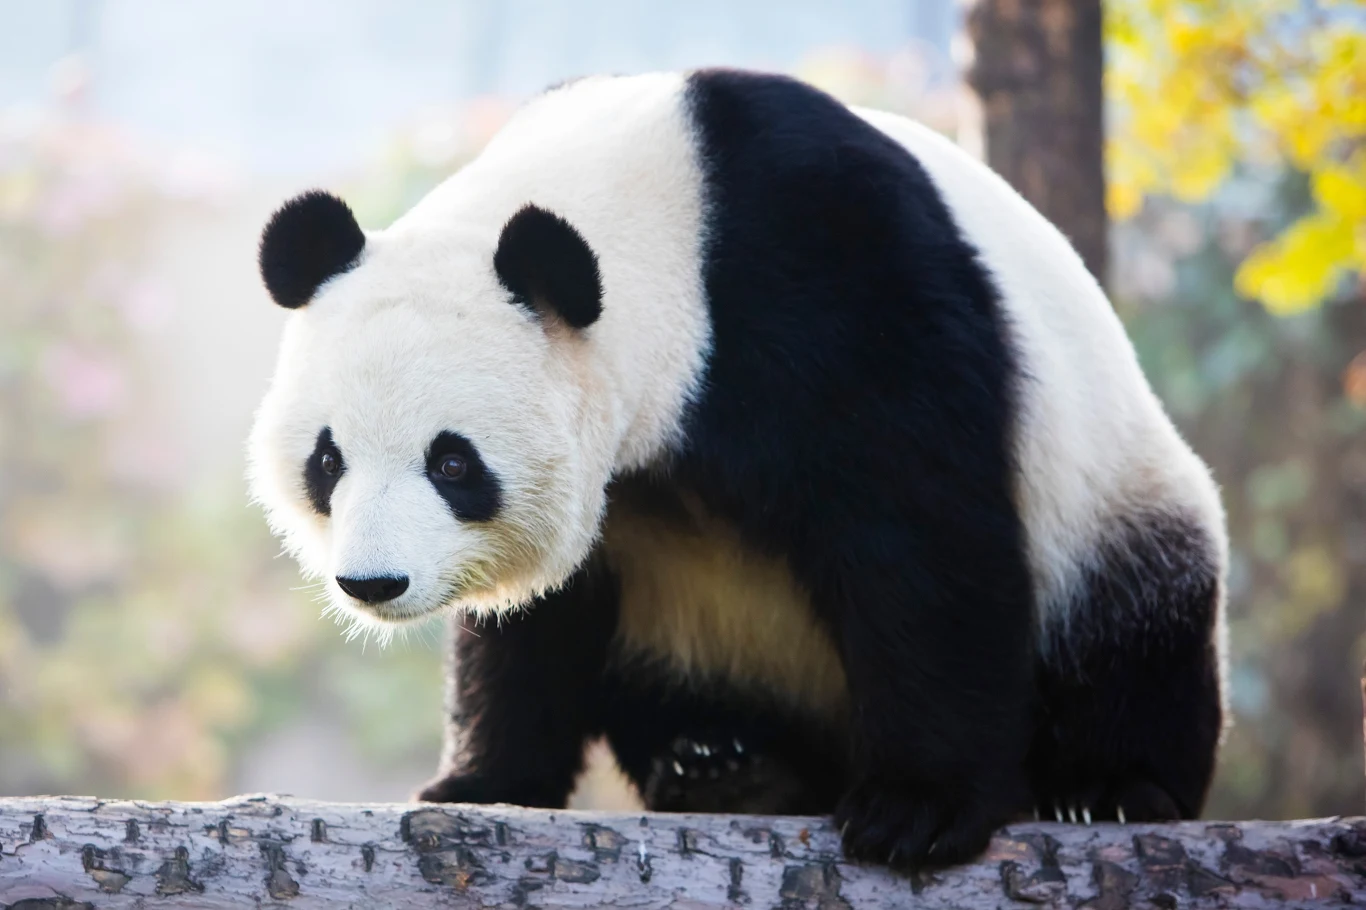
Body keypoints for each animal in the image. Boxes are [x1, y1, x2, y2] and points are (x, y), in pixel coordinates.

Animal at [248, 69, 1228, 871]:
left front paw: (917, 810)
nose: (373, 582)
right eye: (328, 460)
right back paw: (726, 765)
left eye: (452, 462)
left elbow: (918, 537)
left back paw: (1107, 790)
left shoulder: (837, 275)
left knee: (1136, 626)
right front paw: (480, 784)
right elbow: (539, 619)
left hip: (1113, 493)